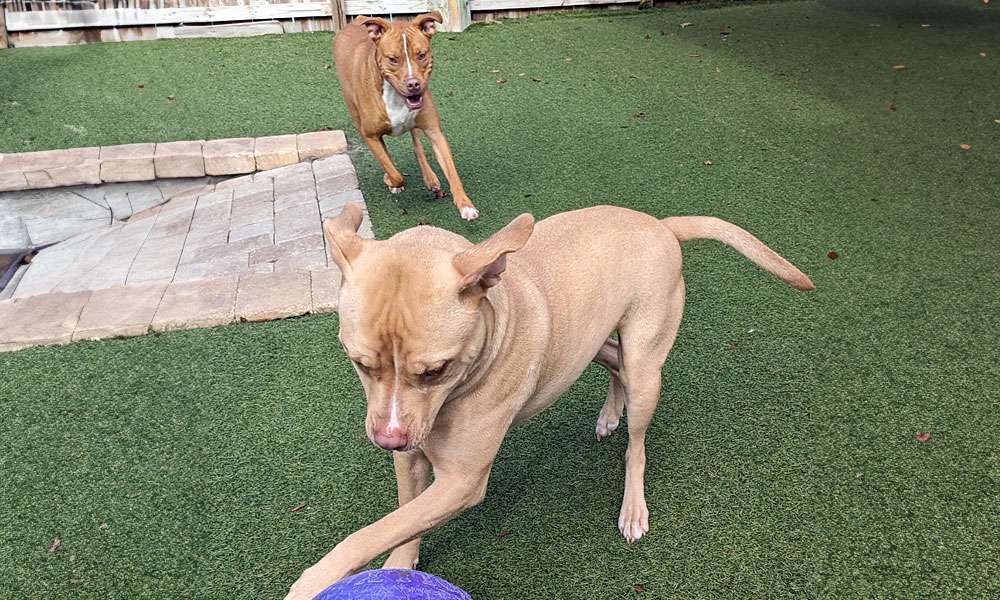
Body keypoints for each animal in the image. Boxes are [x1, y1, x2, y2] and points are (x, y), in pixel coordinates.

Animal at [286, 204, 816, 596]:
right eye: (359, 362)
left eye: (435, 370)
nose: (388, 440)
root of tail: (660, 225)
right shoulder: (411, 457)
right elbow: (400, 520)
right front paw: (400, 566)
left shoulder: (461, 481)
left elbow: (370, 532)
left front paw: (313, 580)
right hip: (587, 342)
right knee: (615, 362)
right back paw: (610, 412)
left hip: (648, 365)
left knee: (637, 441)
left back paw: (633, 503)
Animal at [332, 11, 480, 221]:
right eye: (393, 59)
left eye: (421, 55)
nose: (413, 84)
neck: (395, 97)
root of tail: (356, 20)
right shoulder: (369, 135)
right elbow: (394, 172)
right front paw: (390, 180)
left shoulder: (435, 132)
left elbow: (452, 172)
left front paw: (465, 204)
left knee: (416, 143)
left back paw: (430, 178)